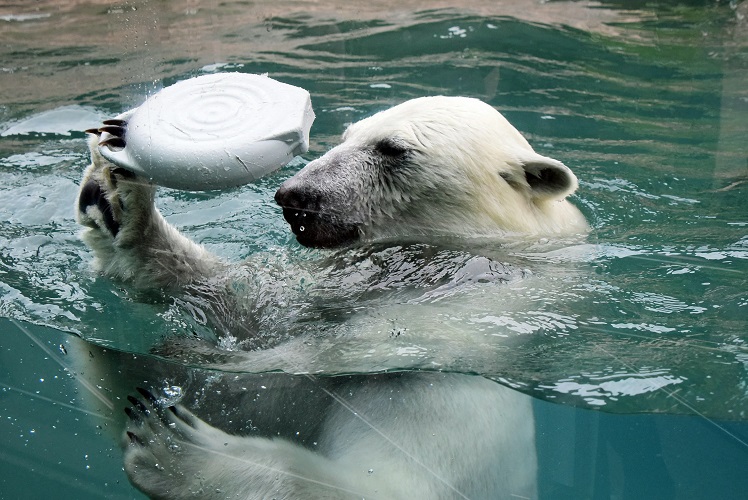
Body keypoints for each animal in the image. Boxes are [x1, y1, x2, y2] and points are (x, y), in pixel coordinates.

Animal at [76, 95, 592, 498]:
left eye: (392, 149)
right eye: (347, 134)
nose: (293, 196)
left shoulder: (448, 366)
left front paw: (180, 440)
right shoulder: (340, 280)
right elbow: (247, 300)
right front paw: (117, 197)